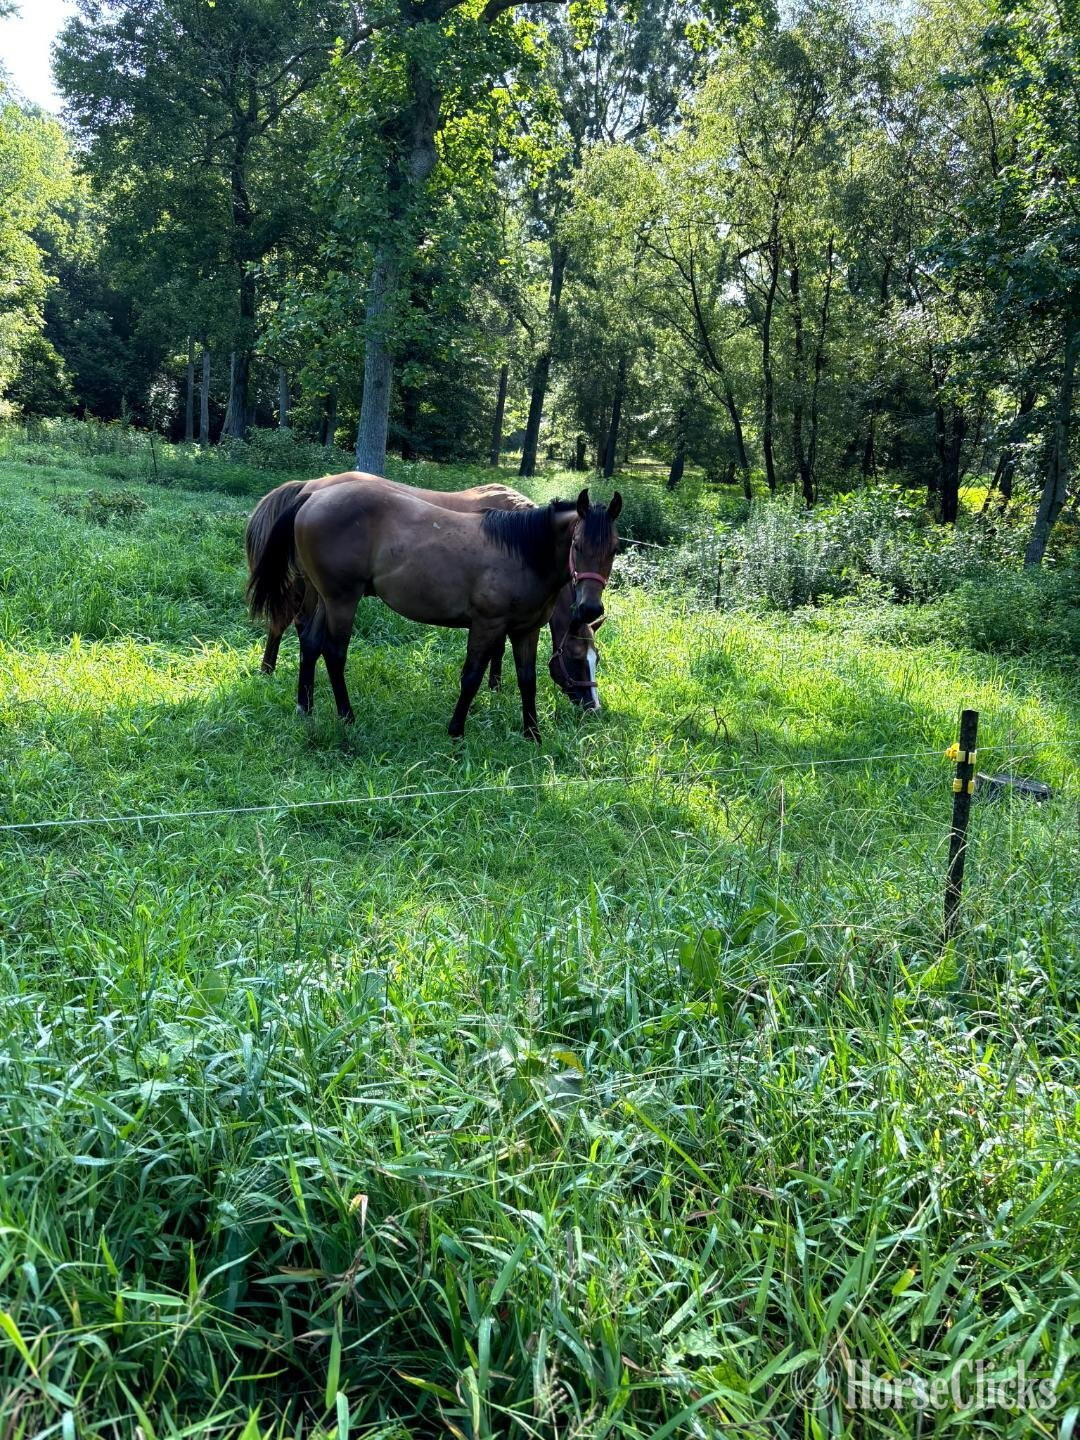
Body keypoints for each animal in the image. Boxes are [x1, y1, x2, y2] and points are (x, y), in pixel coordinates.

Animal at [247, 482, 621, 742]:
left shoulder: (524, 630)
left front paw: (533, 735)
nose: (590, 607)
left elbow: (527, 681)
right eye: (577, 545)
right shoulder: (487, 625)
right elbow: (471, 678)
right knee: (334, 653)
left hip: (325, 597)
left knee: (310, 644)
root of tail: (312, 494)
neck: (522, 552)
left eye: (614, 549)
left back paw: (305, 708)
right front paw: (456, 732)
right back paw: (347, 717)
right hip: (342, 600)